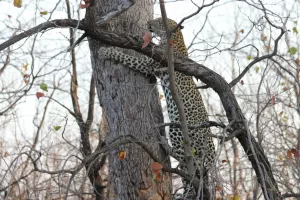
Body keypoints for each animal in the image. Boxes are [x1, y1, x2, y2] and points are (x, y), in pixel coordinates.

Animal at [99, 17, 216, 198]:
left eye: (159, 20)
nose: (148, 23)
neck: (176, 38)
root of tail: (211, 156)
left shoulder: (149, 64)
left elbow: (125, 56)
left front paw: (106, 51)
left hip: (178, 129)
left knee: (184, 157)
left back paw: (163, 142)